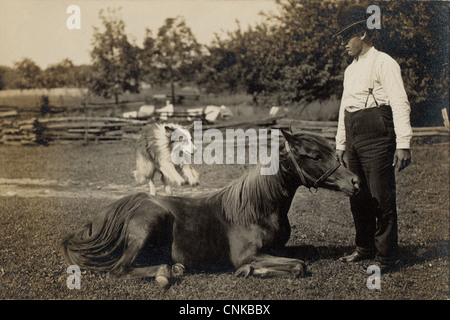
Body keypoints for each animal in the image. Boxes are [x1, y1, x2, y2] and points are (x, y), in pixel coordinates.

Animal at [61, 129, 360, 288]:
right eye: (315, 156)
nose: (355, 182)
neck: (257, 209)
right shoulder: (248, 255)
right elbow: (299, 265)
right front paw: (250, 271)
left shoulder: (277, 248)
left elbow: (306, 254)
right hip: (149, 223)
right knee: (118, 270)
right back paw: (166, 273)